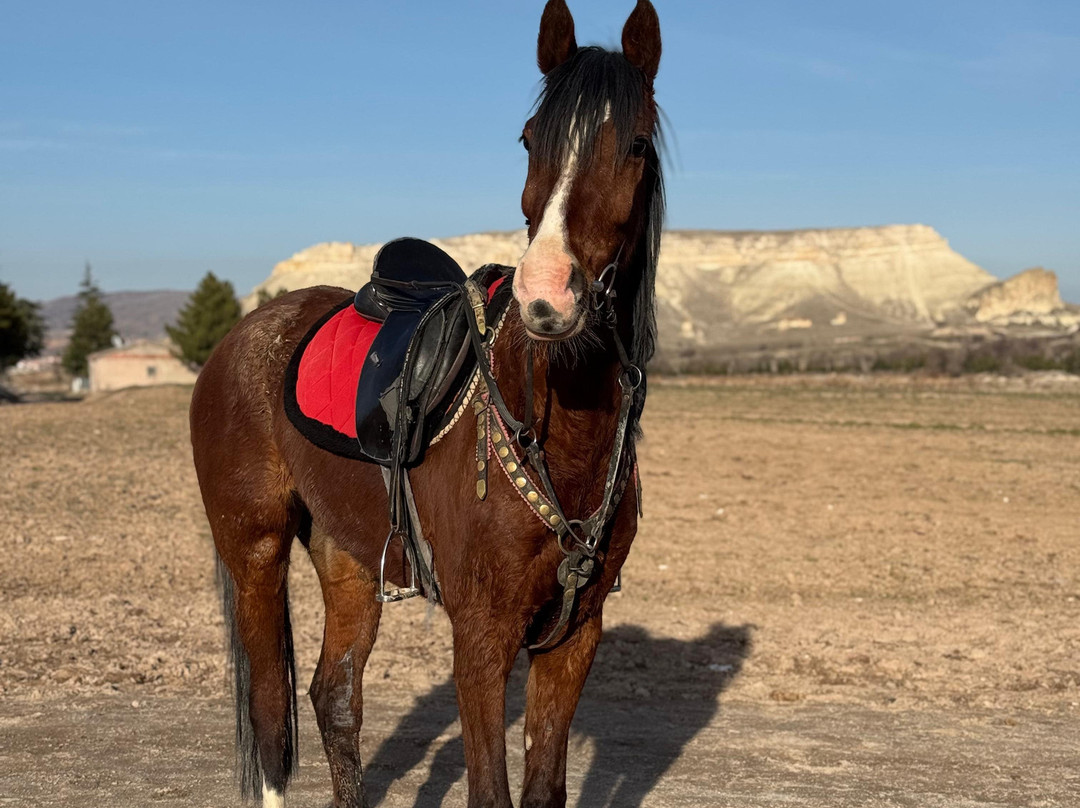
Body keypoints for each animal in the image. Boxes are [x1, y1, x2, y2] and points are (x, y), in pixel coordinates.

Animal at [189, 2, 664, 806]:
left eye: (633, 143)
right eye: (530, 139)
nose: (547, 296)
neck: (560, 434)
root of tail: (240, 337)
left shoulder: (577, 634)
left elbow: (544, 787)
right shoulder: (480, 634)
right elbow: (491, 791)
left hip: (348, 559)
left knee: (334, 698)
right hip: (253, 549)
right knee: (271, 715)